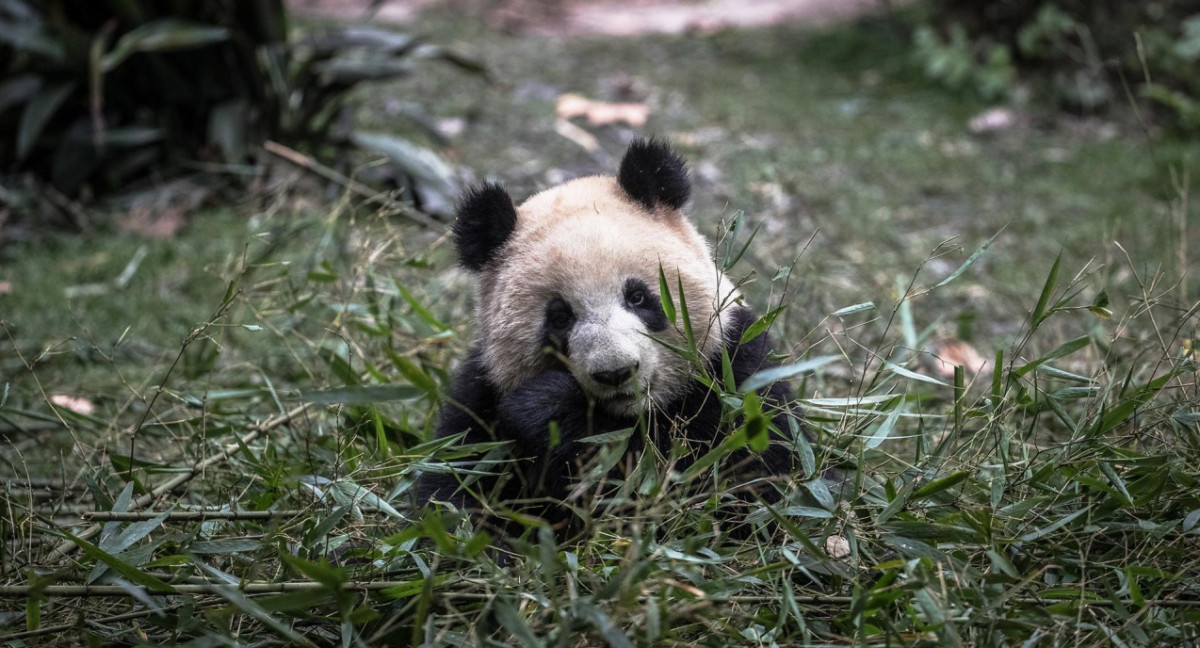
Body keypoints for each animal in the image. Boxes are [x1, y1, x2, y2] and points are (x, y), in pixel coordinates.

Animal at [415, 136, 816, 530]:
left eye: (638, 296)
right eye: (560, 317)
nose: (616, 372)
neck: (630, 415)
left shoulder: (736, 368)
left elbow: (750, 481)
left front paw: (551, 409)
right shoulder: (481, 398)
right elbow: (452, 495)